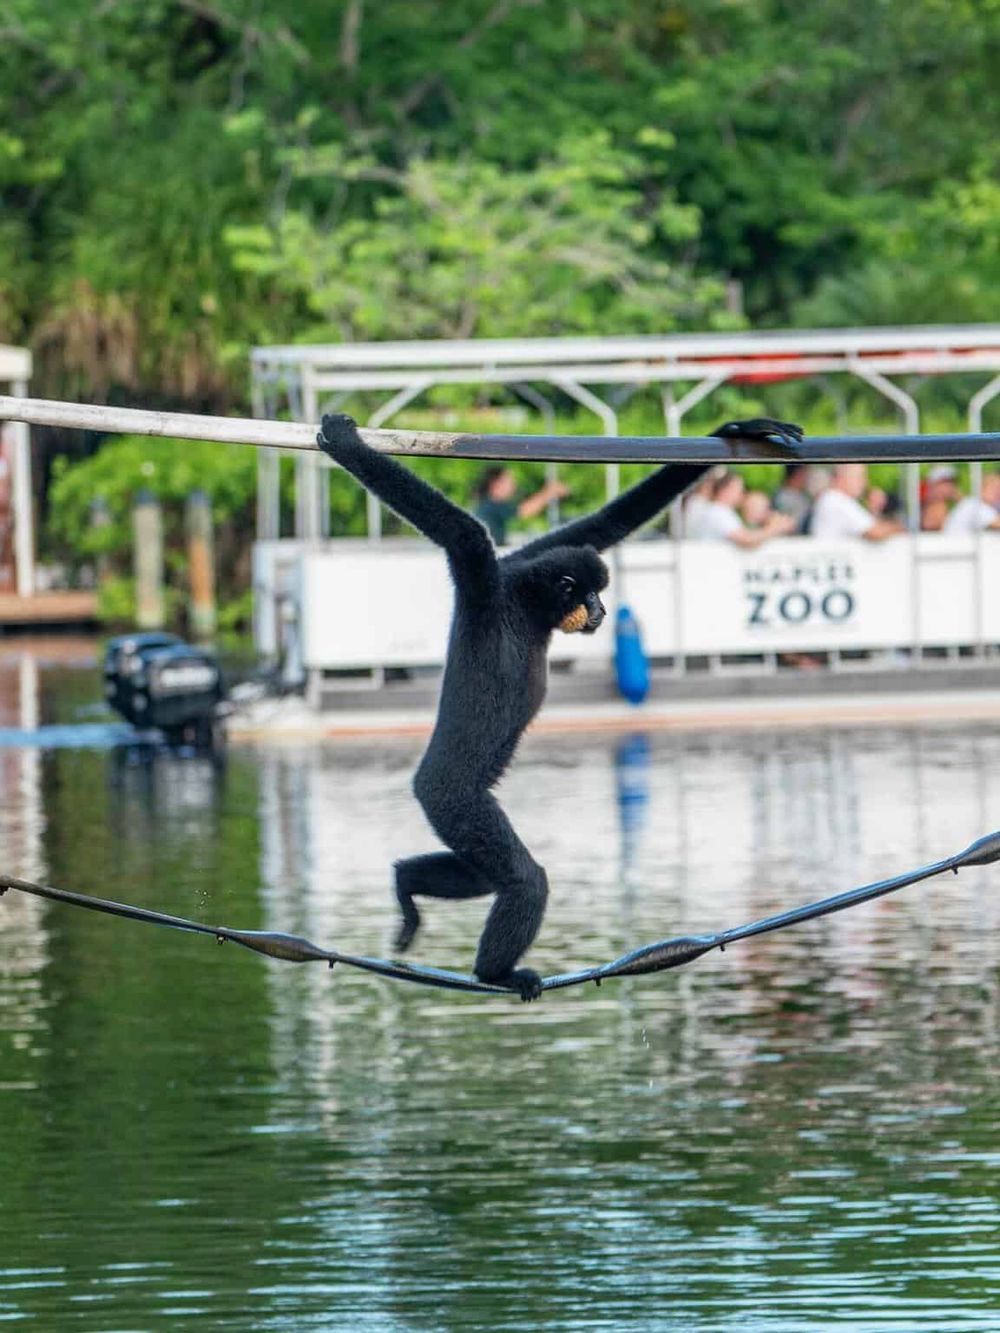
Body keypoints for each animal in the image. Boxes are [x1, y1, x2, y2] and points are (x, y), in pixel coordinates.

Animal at [317, 414, 803, 999]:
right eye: (589, 595)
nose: (601, 611)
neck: (524, 606)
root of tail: (425, 780)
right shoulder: (485, 580)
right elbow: (462, 532)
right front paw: (344, 439)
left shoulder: (521, 560)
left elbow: (602, 523)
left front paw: (742, 429)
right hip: (454, 800)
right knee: (522, 878)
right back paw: (495, 973)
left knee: (481, 873)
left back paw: (405, 882)